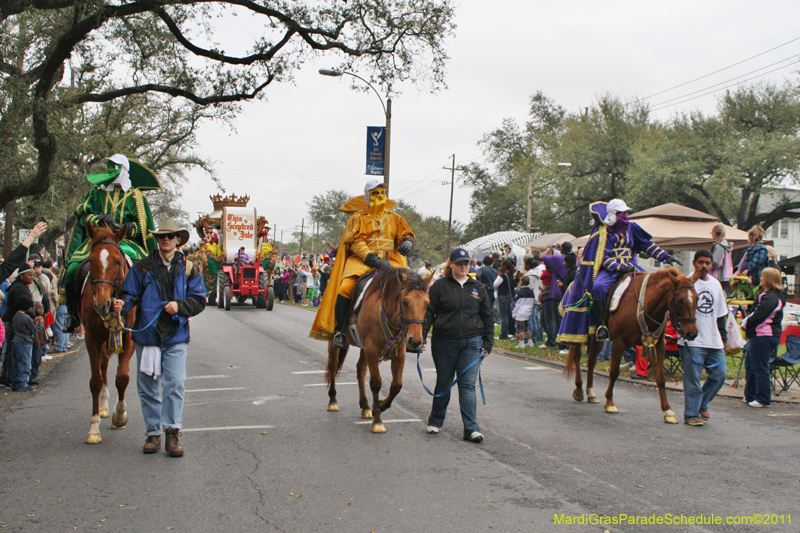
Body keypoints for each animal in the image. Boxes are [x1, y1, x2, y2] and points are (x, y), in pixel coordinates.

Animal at [82, 222, 137, 442]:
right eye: (91, 260)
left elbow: (122, 377)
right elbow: (95, 381)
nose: (101, 304)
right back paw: (103, 407)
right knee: (103, 365)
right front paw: (93, 429)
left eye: (117, 261)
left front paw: (120, 416)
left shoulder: (128, 337)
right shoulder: (91, 339)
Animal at [326, 266, 432, 432]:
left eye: (427, 304)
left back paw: (365, 406)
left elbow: (396, 386)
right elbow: (376, 383)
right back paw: (333, 400)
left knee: (360, 370)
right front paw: (377, 421)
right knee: (333, 365)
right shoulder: (372, 350)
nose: (415, 341)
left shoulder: (398, 353)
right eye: (405, 302)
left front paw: (381, 405)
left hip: (363, 348)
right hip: (334, 340)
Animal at [564, 268, 700, 422]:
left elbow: (660, 378)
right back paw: (579, 390)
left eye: (697, 298)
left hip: (597, 337)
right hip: (580, 332)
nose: (692, 333)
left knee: (591, 360)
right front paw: (610, 402)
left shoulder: (658, 345)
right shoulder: (619, 343)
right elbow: (614, 372)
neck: (645, 304)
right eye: (680, 300)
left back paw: (591, 393)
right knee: (577, 356)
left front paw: (668, 411)